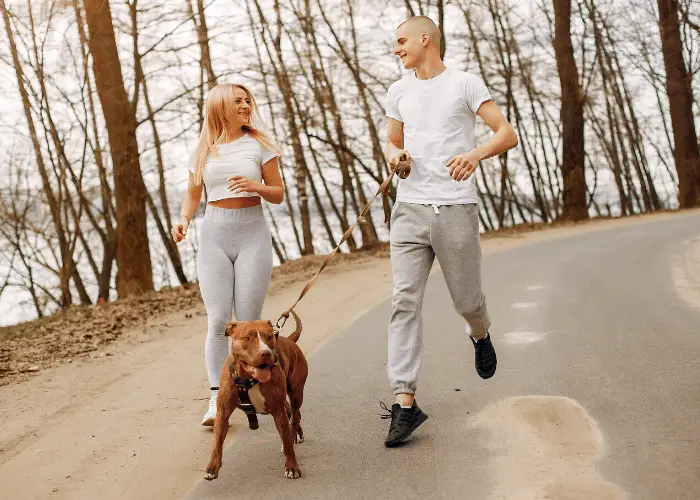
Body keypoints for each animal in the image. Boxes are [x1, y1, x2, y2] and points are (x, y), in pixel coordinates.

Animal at [205, 312, 308, 480]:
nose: (265, 353)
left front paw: (292, 467)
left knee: (295, 416)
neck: (248, 380)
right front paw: (212, 468)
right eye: (247, 338)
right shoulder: (223, 413)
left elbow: (287, 442)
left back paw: (295, 435)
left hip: (296, 393)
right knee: (291, 413)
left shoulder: (278, 411)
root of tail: (289, 339)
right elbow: (217, 442)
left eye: (269, 336)